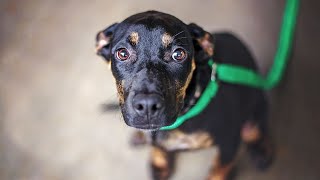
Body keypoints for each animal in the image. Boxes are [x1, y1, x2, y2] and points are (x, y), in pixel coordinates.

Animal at [96, 10, 274, 179]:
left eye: (178, 54)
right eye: (122, 53)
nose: (147, 105)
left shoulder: (229, 142)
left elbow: (220, 167)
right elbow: (157, 148)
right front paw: (159, 164)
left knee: (255, 130)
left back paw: (261, 150)